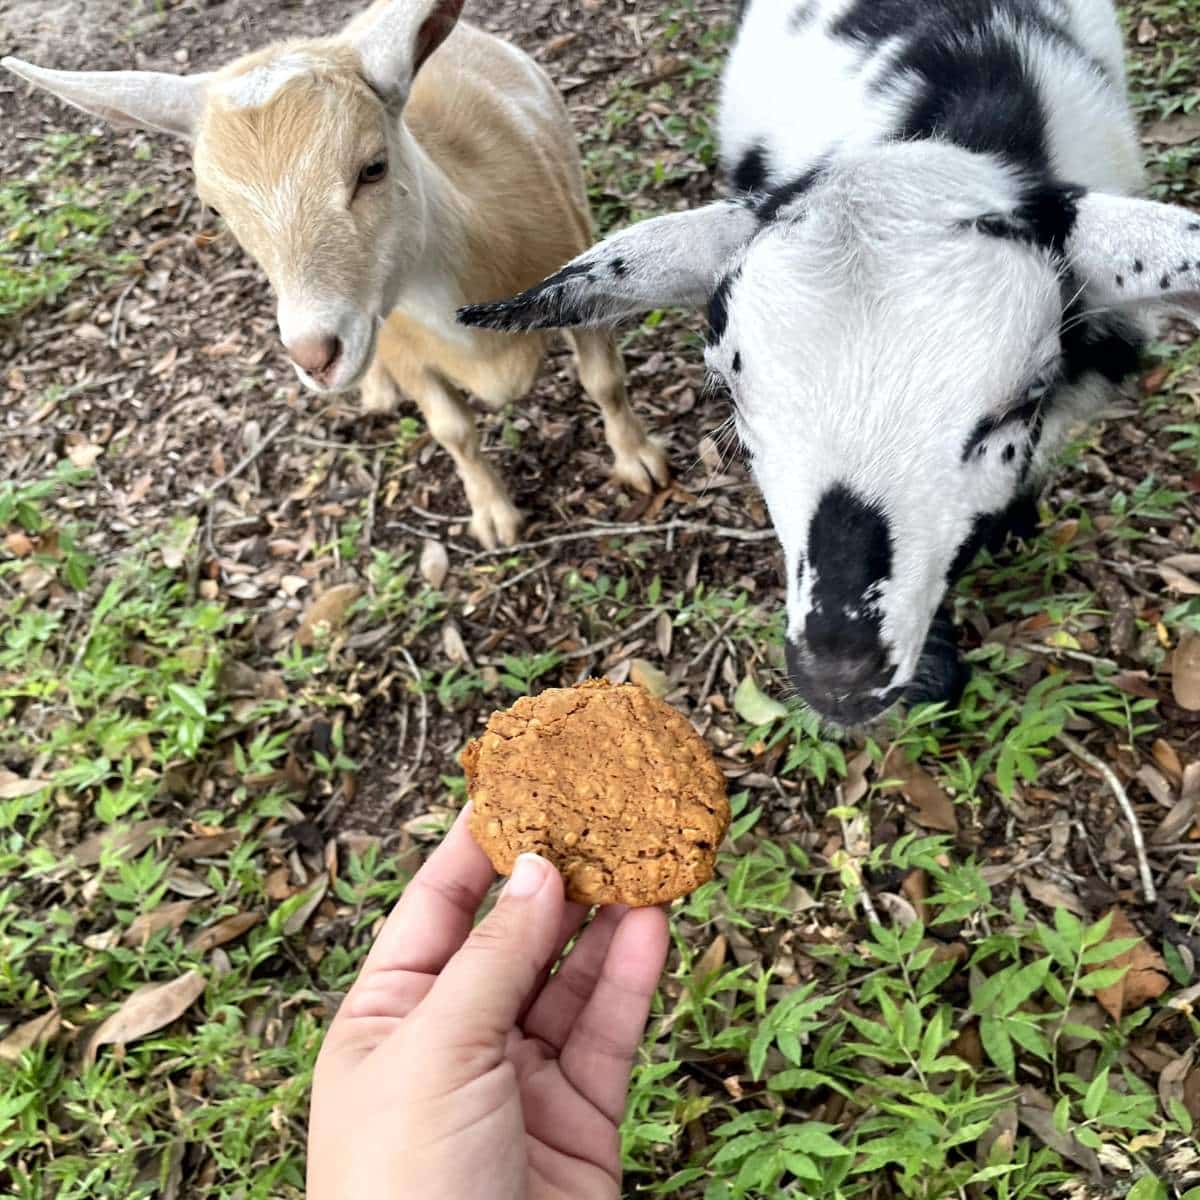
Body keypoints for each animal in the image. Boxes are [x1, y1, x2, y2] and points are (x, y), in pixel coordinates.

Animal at [3, 0, 669, 549]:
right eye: (214, 209)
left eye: (372, 167)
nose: (314, 355)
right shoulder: (400, 346)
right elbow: (453, 430)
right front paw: (493, 518)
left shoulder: (581, 282)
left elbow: (604, 381)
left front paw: (640, 464)